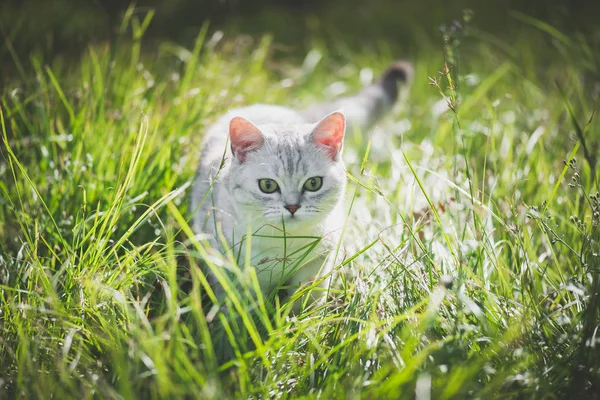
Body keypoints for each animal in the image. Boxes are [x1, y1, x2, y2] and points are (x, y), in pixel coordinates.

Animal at [192, 61, 412, 308]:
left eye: (313, 183)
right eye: (268, 185)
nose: (292, 207)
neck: (285, 244)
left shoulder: (317, 264)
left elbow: (306, 300)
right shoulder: (226, 265)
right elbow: (240, 303)